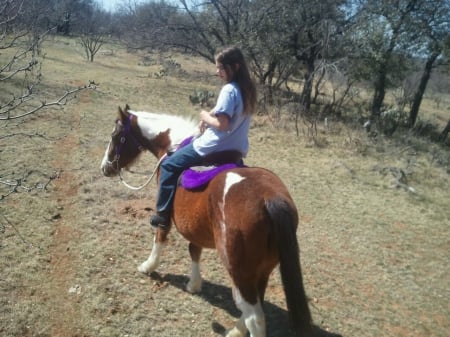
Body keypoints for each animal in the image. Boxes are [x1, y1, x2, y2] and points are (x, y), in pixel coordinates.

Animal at [101, 105, 312, 336]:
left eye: (115, 136)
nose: (105, 168)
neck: (171, 144)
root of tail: (269, 198)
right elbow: (194, 250)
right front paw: (194, 284)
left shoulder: (164, 211)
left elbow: (160, 236)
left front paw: (148, 266)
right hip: (262, 269)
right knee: (256, 303)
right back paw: (237, 329)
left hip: (239, 271)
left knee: (255, 317)